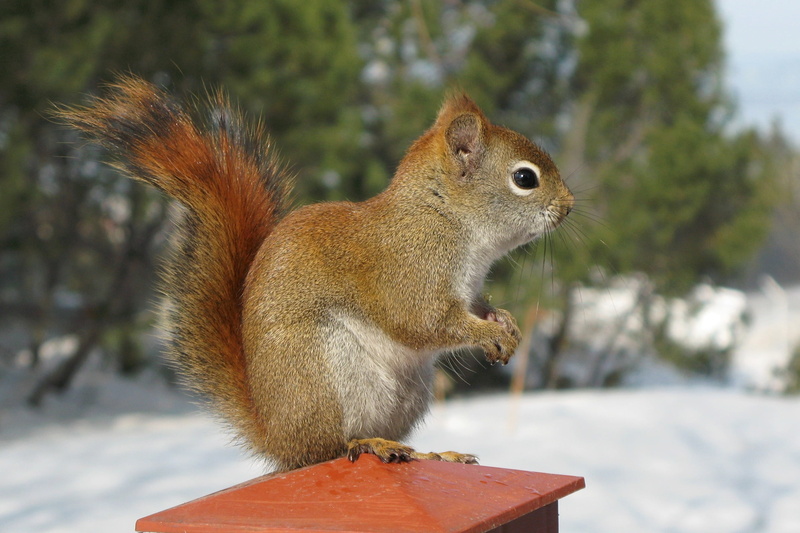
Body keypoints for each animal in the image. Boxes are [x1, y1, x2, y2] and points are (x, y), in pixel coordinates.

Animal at [57, 75, 574, 472]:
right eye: (524, 178)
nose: (569, 207)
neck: (444, 216)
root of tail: (277, 436)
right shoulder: (408, 272)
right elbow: (423, 322)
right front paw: (490, 334)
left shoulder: (468, 289)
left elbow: (476, 308)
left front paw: (505, 323)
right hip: (323, 372)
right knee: (327, 449)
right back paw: (367, 444)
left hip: (404, 394)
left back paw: (429, 453)